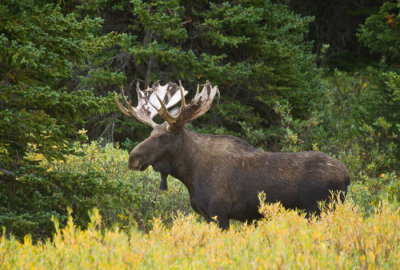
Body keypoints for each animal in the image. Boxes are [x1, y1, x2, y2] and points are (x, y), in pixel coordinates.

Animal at [115, 80, 350, 228]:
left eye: (164, 137)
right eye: (151, 133)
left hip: (319, 209)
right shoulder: (207, 214)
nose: (133, 158)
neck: (190, 174)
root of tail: (348, 176)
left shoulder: (220, 213)